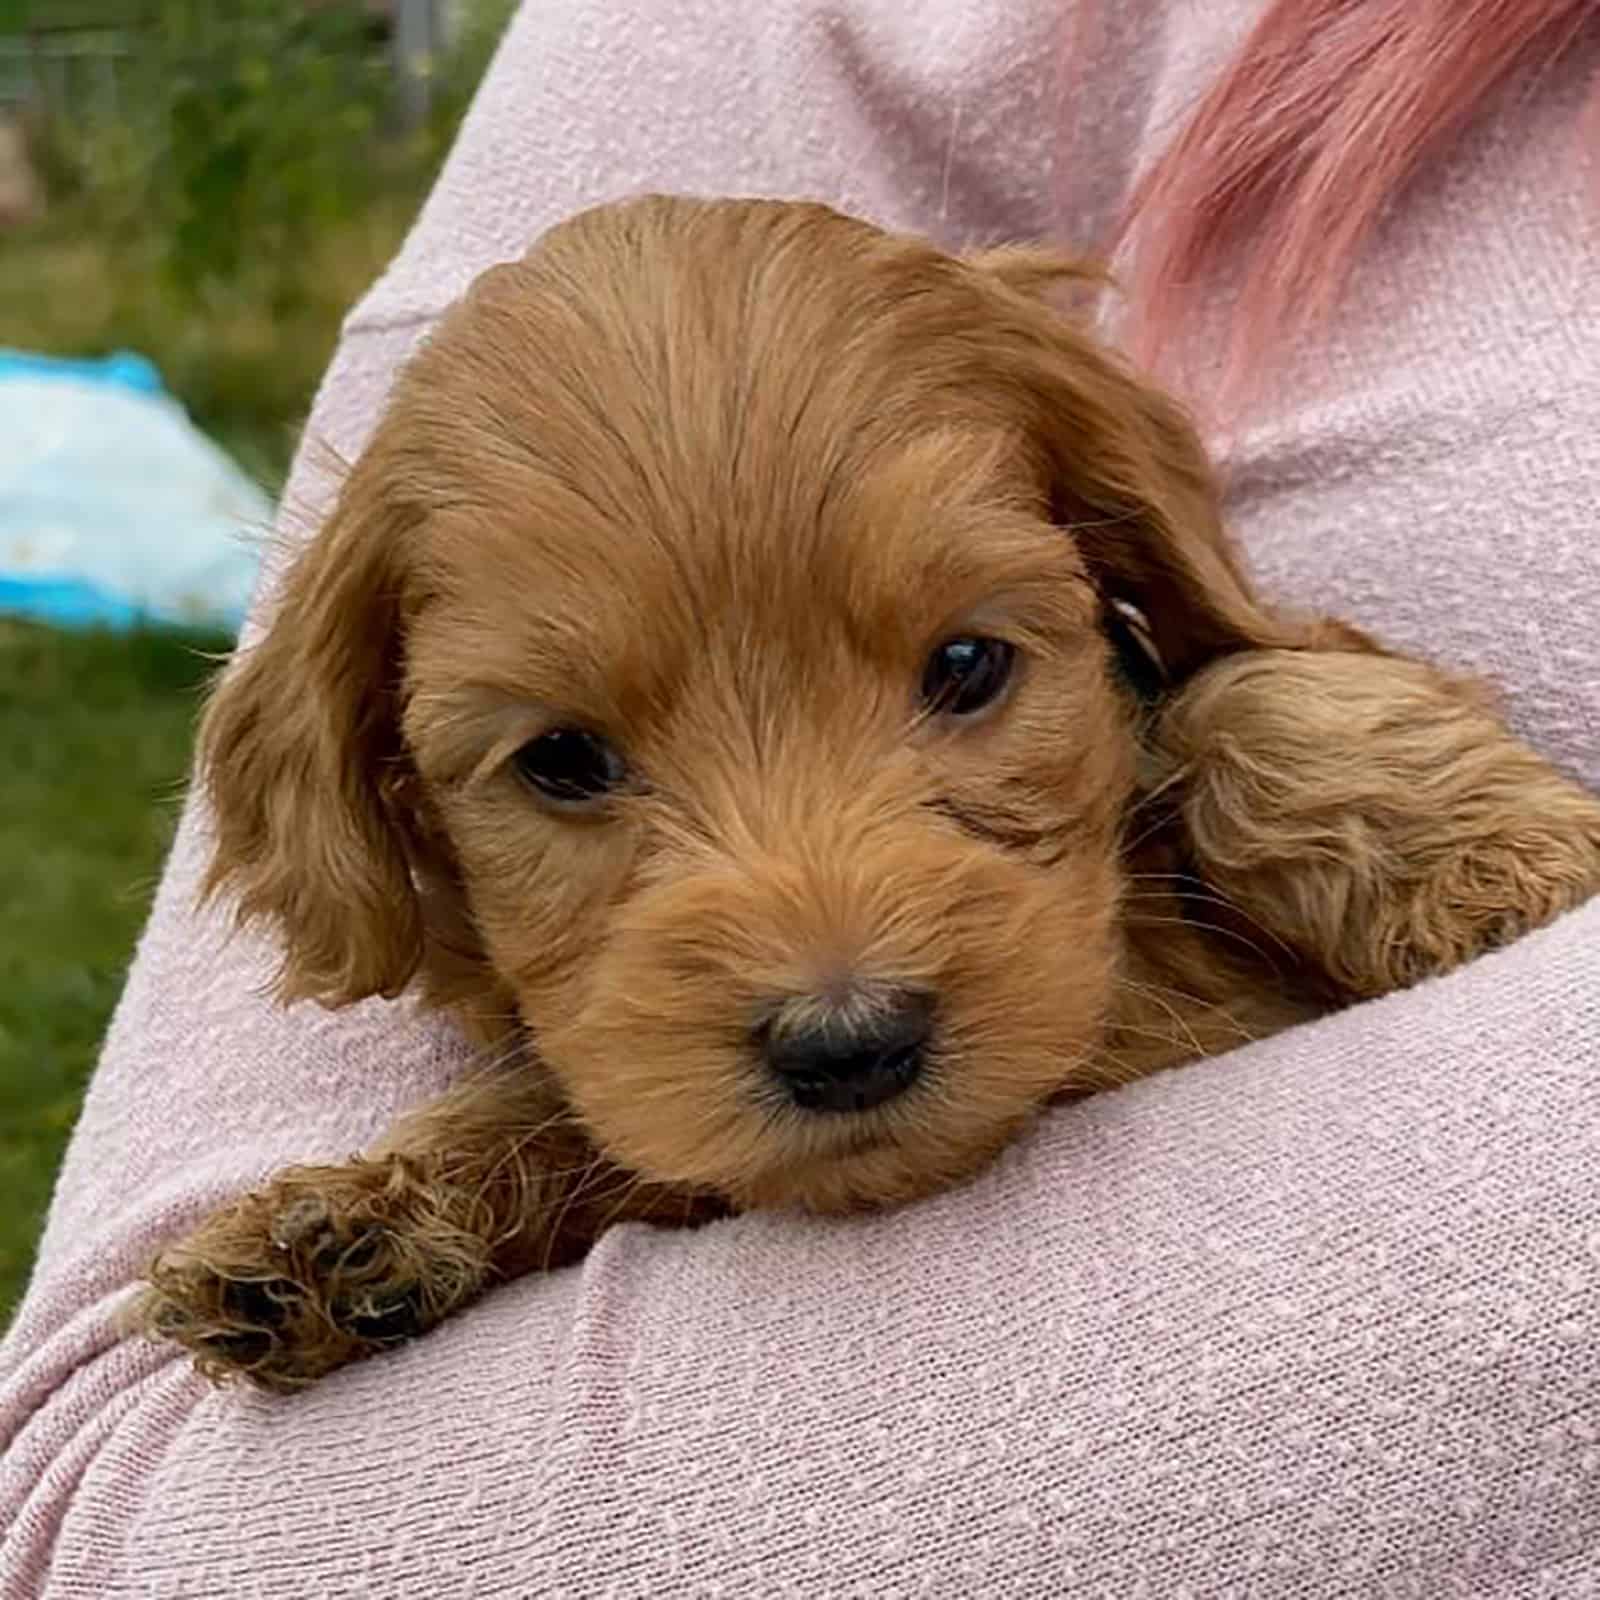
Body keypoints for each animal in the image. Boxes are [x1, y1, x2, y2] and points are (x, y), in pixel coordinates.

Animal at [134, 193, 1600, 1388]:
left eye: (966, 665)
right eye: (559, 760)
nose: (850, 1044)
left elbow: (1247, 688)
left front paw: (1502, 865)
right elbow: (600, 1114)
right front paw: (348, 1227)